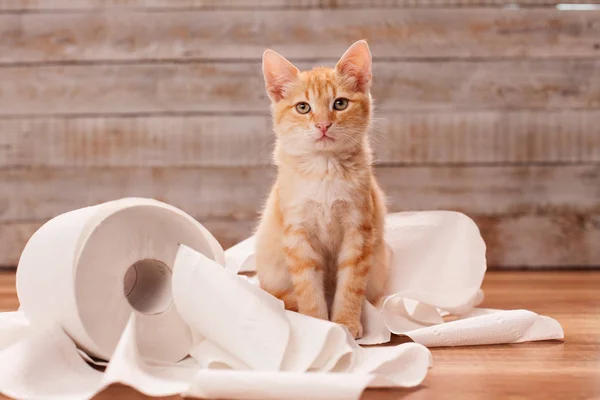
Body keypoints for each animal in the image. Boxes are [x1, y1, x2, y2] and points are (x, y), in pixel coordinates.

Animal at [254, 40, 390, 340]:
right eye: (303, 107)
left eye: (340, 103)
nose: (323, 124)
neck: (324, 170)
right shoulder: (297, 234)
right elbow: (308, 287)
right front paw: (318, 323)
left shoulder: (359, 230)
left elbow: (351, 283)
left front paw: (346, 322)